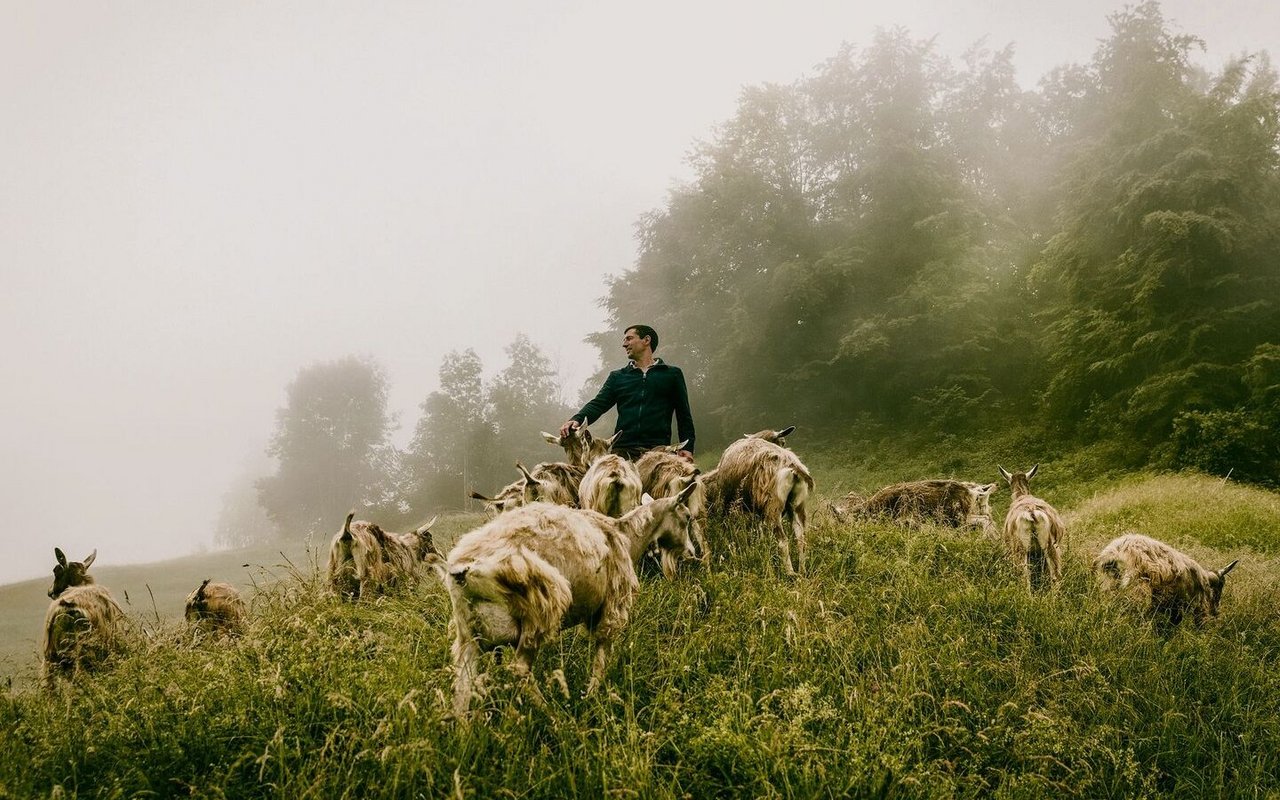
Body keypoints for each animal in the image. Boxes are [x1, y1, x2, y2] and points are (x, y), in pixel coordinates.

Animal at [437, 483, 701, 716]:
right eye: (687, 517)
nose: (692, 553)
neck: (627, 535)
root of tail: (463, 569)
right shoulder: (611, 608)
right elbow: (601, 658)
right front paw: (592, 696)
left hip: (469, 635)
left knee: (462, 688)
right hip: (537, 612)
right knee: (520, 669)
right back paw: (555, 716)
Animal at [706, 427, 814, 576]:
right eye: (783, 442)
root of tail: (792, 466)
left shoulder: (728, 502)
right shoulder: (757, 509)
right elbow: (759, 529)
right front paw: (760, 544)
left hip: (773, 505)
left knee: (782, 540)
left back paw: (790, 572)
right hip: (797, 505)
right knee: (801, 538)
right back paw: (802, 571)